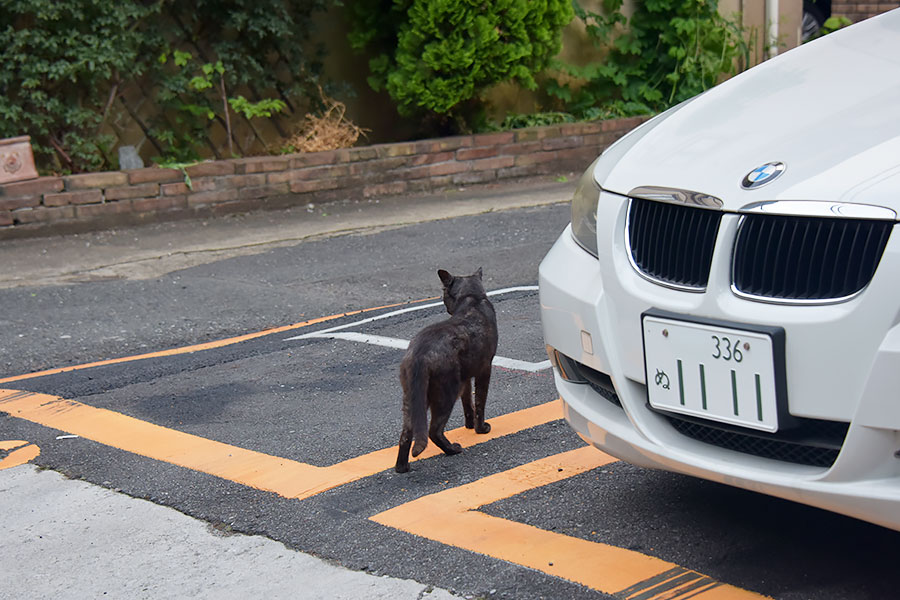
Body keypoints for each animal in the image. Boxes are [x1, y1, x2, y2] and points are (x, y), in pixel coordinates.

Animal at [398, 268, 502, 474]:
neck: (472, 299)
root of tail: (419, 354)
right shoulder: (485, 369)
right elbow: (480, 402)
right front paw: (481, 429)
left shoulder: (466, 378)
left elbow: (468, 402)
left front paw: (469, 425)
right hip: (446, 392)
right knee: (434, 430)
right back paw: (453, 449)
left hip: (413, 397)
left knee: (406, 434)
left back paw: (402, 468)